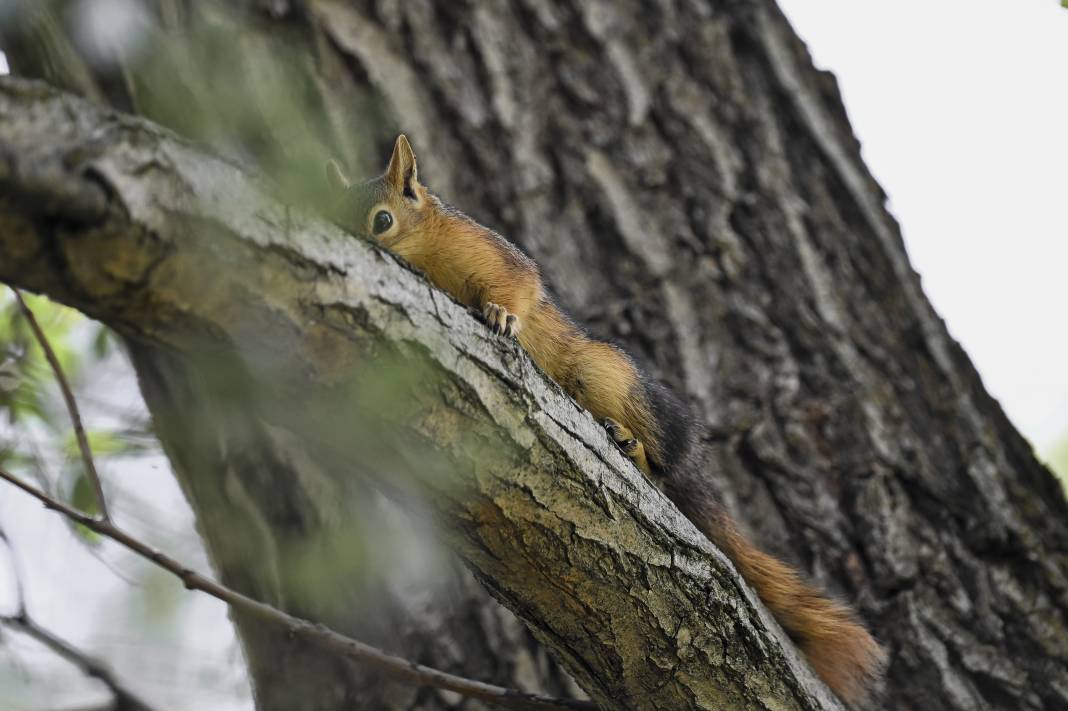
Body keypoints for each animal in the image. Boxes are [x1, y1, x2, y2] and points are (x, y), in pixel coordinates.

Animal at [328, 132, 888, 704]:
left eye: (382, 221)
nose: (359, 242)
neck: (428, 253)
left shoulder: (492, 254)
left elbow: (516, 289)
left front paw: (502, 315)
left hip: (603, 375)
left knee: (659, 468)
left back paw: (635, 448)